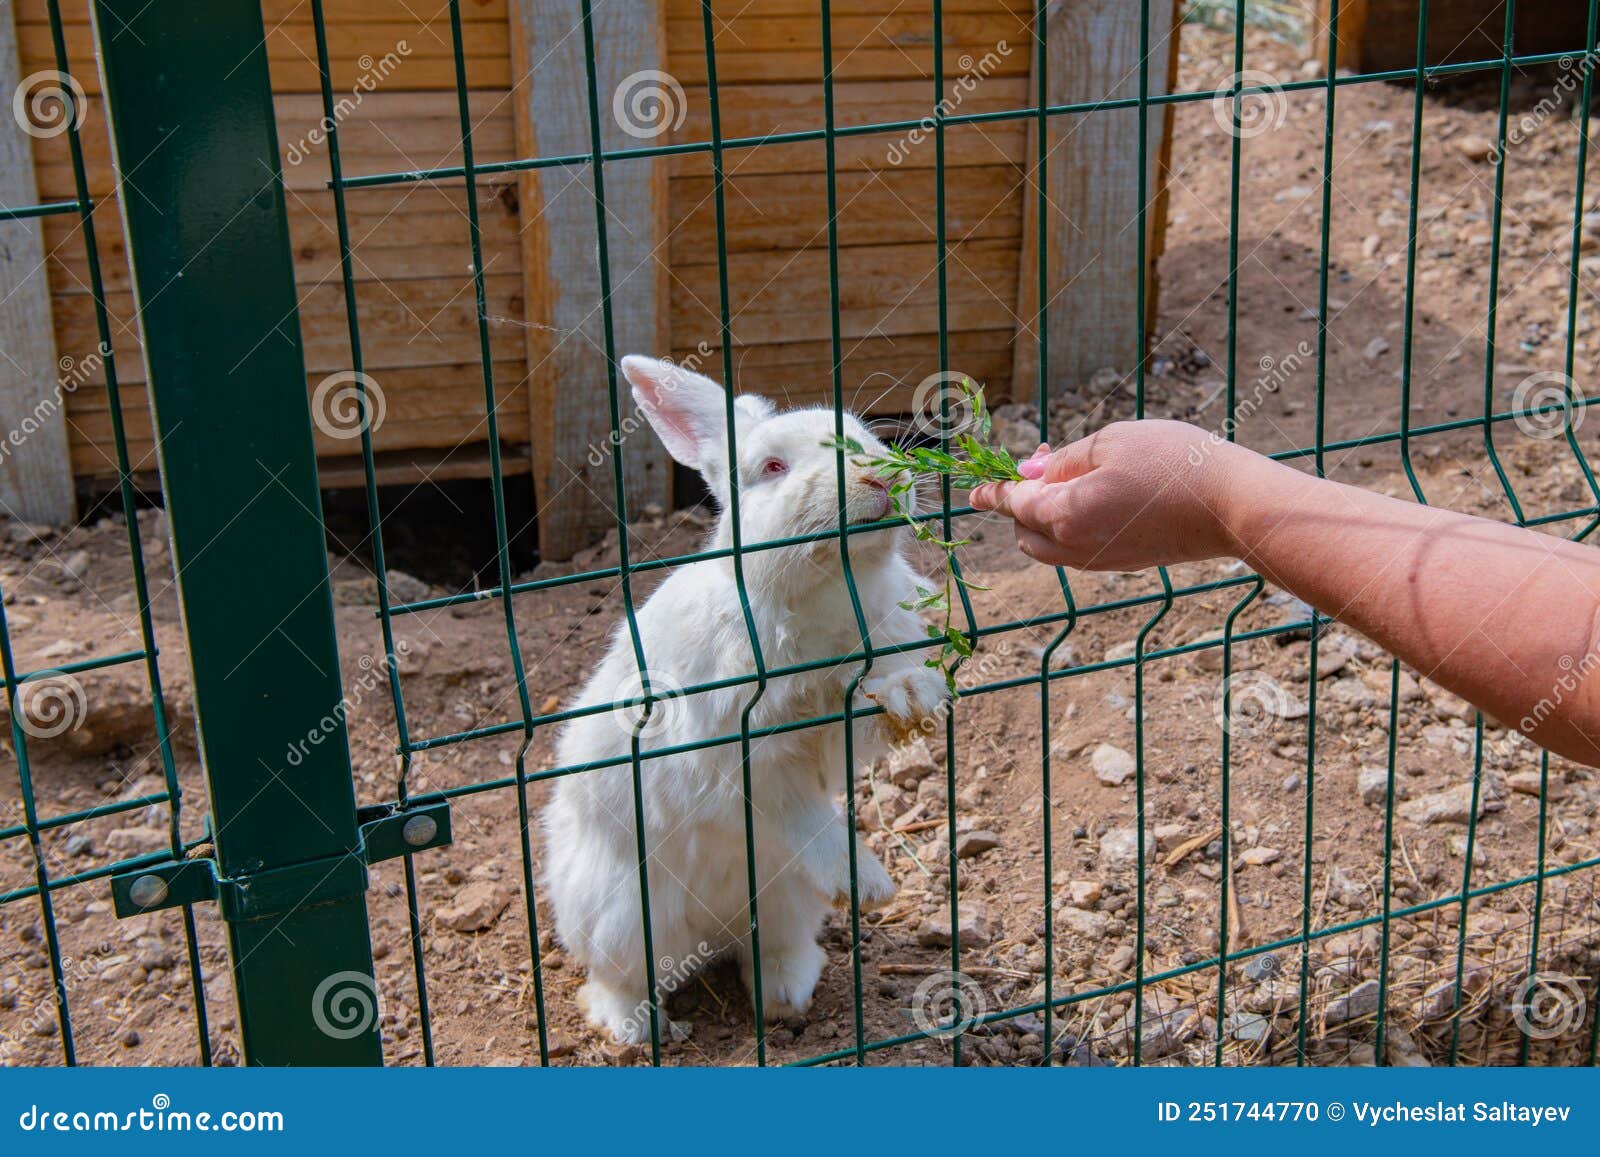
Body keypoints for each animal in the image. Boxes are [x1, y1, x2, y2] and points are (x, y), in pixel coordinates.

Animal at [541, 354, 950, 1043]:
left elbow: (876, 700)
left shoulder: (835, 726)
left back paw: (785, 995)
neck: (820, 592)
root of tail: (712, 938)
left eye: (863, 438)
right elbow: (801, 814)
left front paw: (918, 693)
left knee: (771, 948)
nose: (879, 475)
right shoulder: (740, 756)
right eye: (773, 467)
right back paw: (634, 1030)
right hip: (619, 915)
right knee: (621, 979)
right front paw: (866, 884)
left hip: (784, 899)